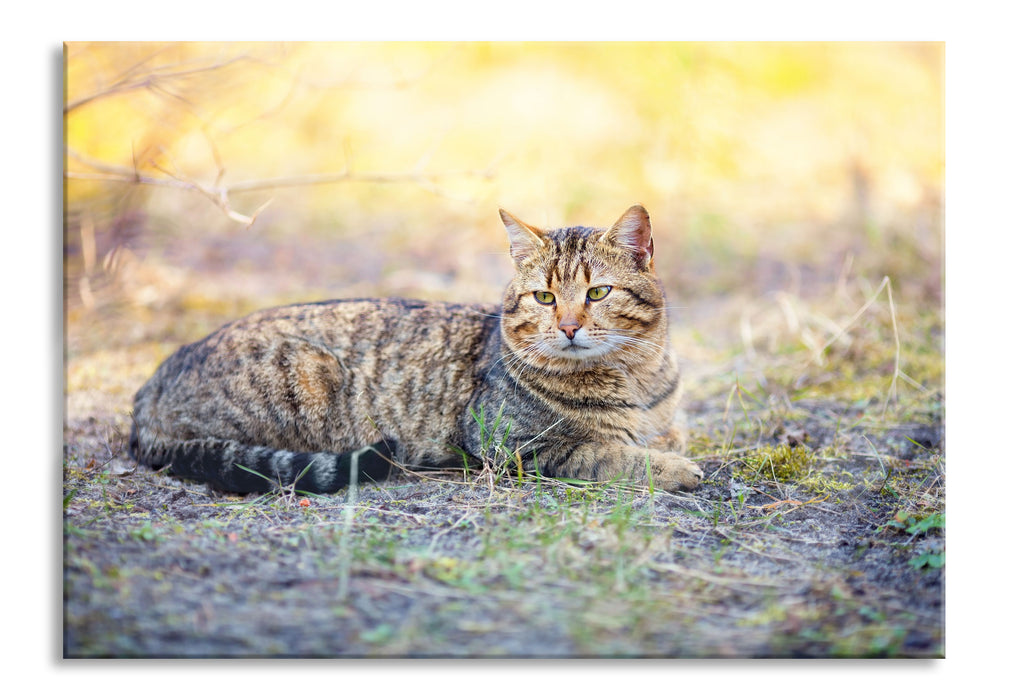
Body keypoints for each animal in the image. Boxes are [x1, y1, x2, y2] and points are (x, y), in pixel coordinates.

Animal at [128, 206, 702, 494]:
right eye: (544, 297)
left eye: (597, 293)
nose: (567, 327)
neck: (634, 377)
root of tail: (151, 384)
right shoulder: (514, 444)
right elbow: (605, 452)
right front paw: (674, 470)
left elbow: (666, 435)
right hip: (306, 376)